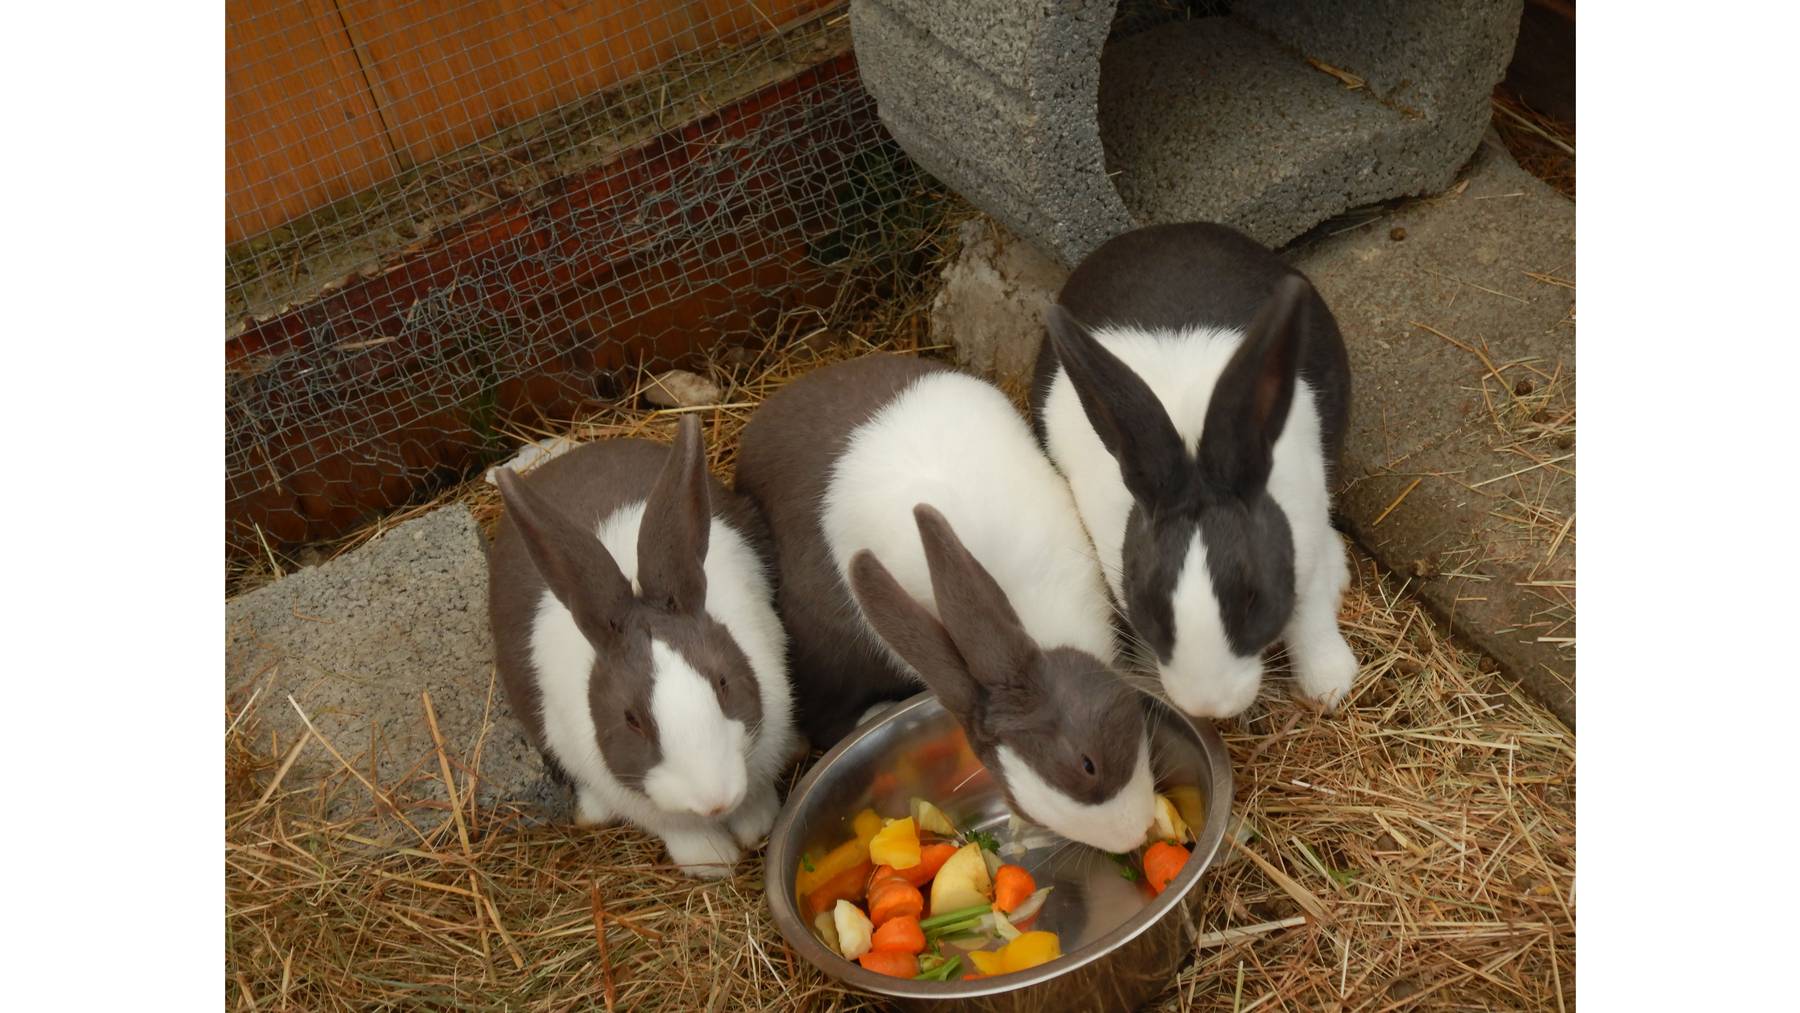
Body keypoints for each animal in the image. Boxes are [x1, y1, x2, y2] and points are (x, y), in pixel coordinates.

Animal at [493, 415, 802, 874]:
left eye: (723, 683)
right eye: (631, 719)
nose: (714, 800)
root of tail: (576, 454)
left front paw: (754, 829)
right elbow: (684, 835)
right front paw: (713, 863)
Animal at [1036, 224, 1353, 719]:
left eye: (1252, 596)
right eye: (1149, 603)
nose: (1208, 706)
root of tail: (1167, 231)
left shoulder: (1307, 539)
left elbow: (1311, 614)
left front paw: (1330, 685)